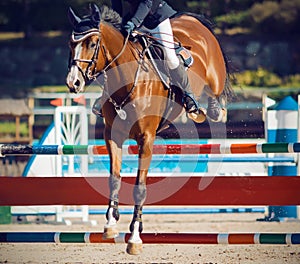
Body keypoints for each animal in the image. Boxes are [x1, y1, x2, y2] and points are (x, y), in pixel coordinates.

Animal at [67, 4, 233, 255]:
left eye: (93, 43)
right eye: (71, 44)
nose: (73, 83)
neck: (128, 79)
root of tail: (191, 20)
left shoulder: (146, 138)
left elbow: (139, 187)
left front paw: (135, 237)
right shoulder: (112, 136)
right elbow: (114, 178)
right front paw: (111, 224)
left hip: (214, 77)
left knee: (215, 93)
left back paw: (207, 110)